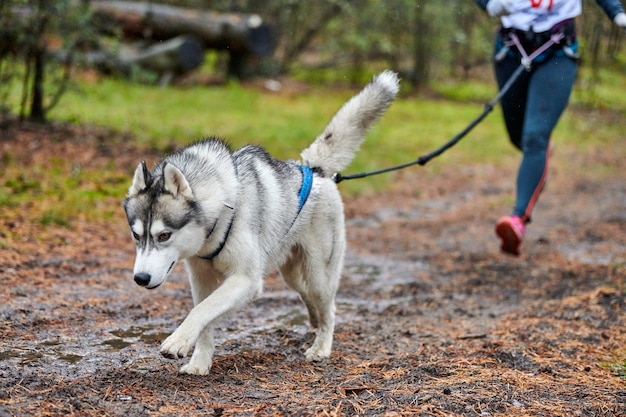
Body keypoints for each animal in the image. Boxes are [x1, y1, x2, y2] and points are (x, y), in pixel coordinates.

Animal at [122, 70, 398, 374]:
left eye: (164, 235)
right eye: (136, 236)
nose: (140, 278)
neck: (220, 213)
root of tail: (313, 170)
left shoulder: (246, 281)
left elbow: (201, 311)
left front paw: (178, 341)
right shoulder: (202, 280)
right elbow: (205, 318)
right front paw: (200, 363)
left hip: (319, 275)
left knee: (330, 308)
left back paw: (321, 347)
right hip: (291, 275)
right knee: (308, 299)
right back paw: (313, 321)